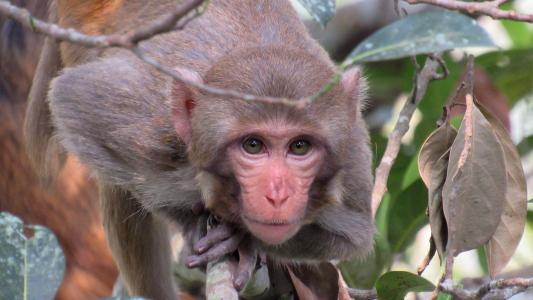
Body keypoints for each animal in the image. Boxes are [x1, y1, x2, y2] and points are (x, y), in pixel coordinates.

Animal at [25, 0, 372, 298]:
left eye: (300, 147)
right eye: (253, 145)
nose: (277, 194)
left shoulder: (352, 159)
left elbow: (353, 236)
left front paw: (244, 237)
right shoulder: (154, 125)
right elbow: (73, 98)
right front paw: (191, 221)